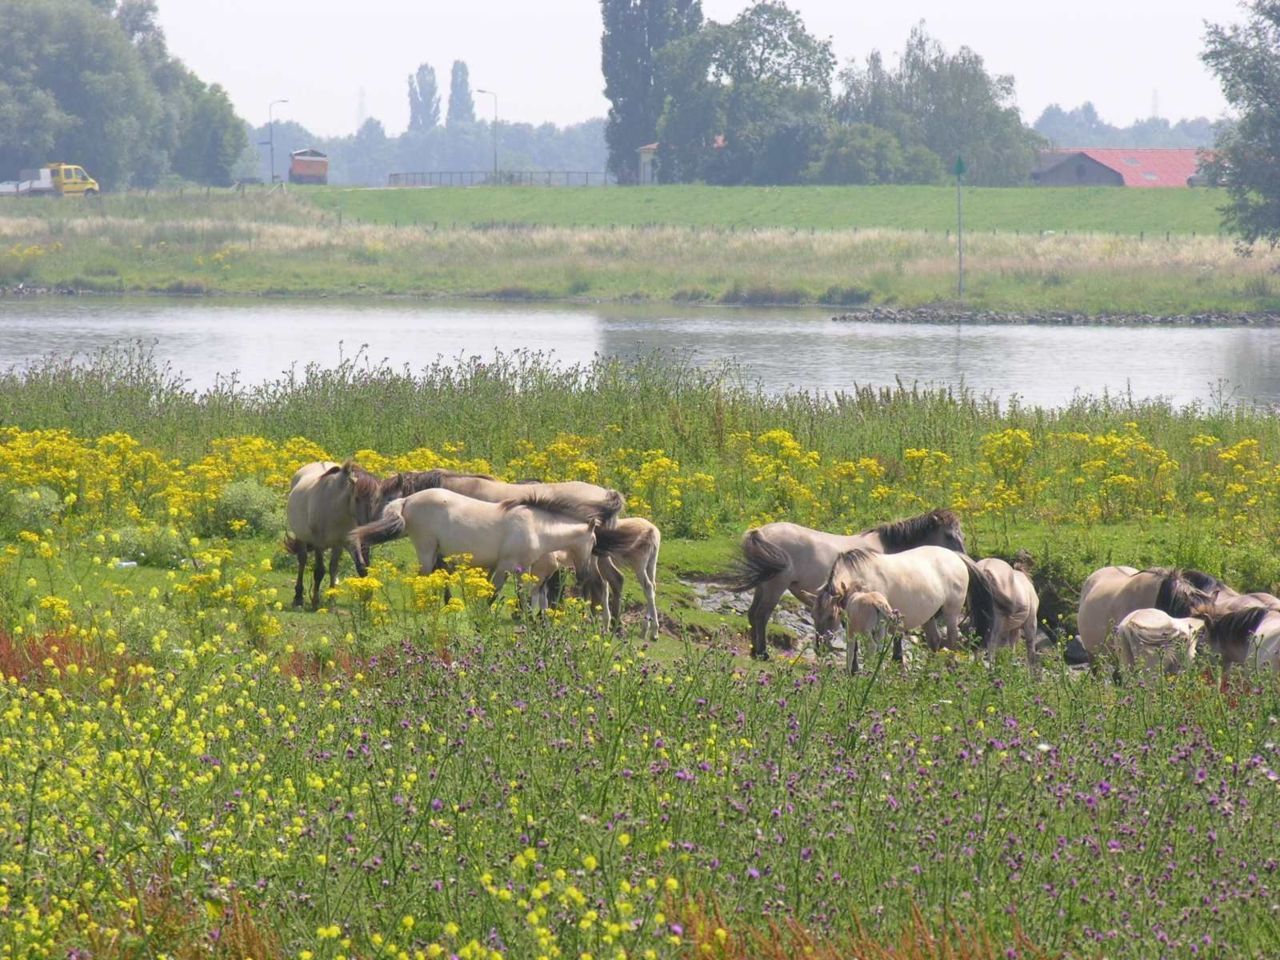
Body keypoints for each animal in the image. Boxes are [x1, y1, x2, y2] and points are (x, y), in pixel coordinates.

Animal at [286, 463, 396, 611]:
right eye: (357, 498)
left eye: (376, 499)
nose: (367, 525)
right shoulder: (318, 544)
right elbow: (319, 571)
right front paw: (315, 602)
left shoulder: (346, 543)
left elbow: (359, 568)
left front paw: (363, 600)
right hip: (301, 537)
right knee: (302, 561)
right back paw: (298, 599)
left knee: (332, 567)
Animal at [727, 512, 962, 660]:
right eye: (949, 535)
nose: (963, 556)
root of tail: (760, 531)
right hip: (775, 586)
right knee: (761, 615)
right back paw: (763, 653)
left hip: (763, 585)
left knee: (752, 614)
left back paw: (754, 651)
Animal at [808, 547, 1008, 675]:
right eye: (813, 616)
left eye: (830, 616)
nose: (820, 648)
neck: (861, 577)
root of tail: (955, 555)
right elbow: (855, 645)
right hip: (930, 616)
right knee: (934, 642)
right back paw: (928, 672)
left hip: (951, 613)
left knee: (951, 640)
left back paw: (949, 669)